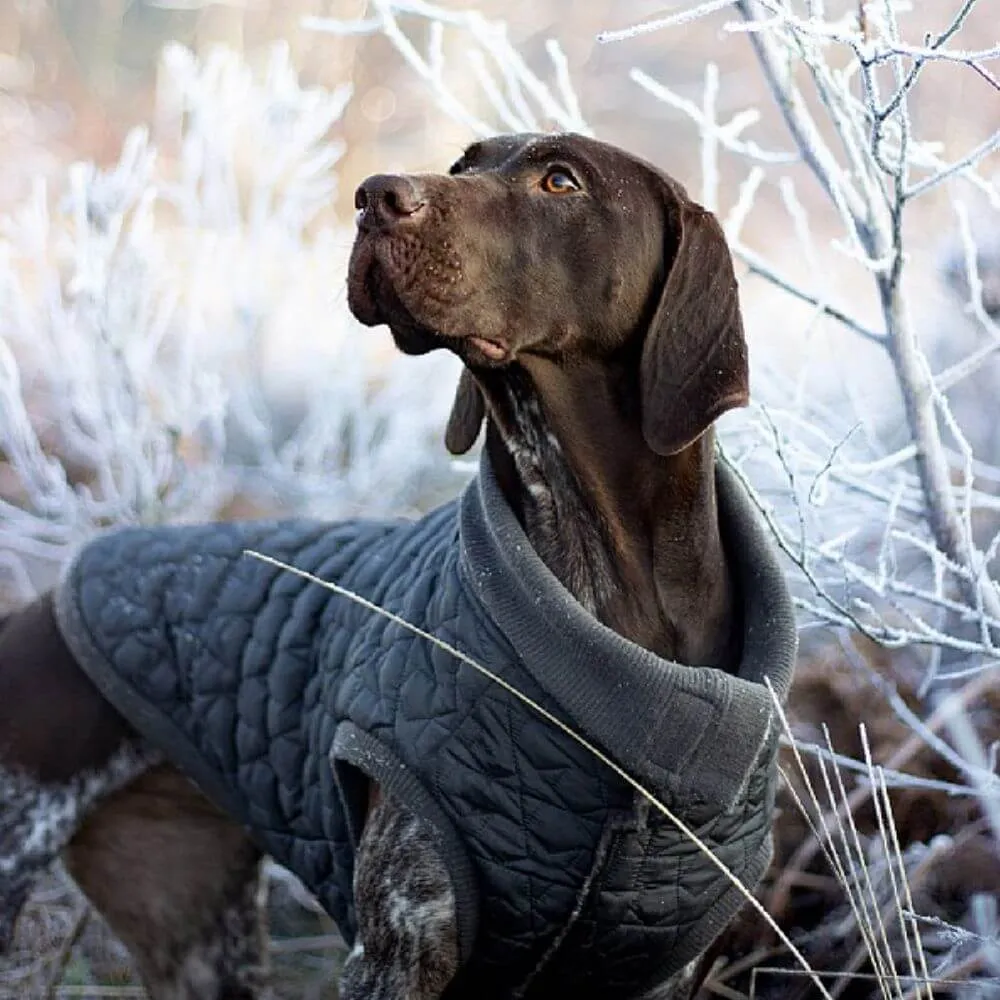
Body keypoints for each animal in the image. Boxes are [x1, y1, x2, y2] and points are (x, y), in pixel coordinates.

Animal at [0, 135, 796, 1000]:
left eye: (561, 180)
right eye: (462, 166)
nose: (375, 196)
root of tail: (41, 606)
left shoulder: (655, 966)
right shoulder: (397, 949)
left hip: (196, 927)